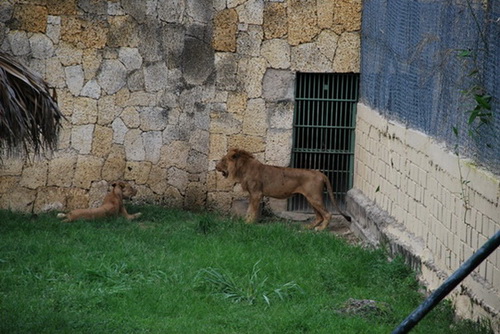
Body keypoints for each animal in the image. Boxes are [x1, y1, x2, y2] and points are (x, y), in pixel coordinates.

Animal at [216, 149, 352, 230]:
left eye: (223, 160)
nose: (215, 166)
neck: (243, 169)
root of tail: (320, 173)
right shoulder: (252, 195)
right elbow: (249, 209)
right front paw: (246, 221)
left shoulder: (256, 194)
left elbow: (252, 210)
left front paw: (248, 223)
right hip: (311, 198)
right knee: (319, 216)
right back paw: (307, 227)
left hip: (314, 197)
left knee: (327, 214)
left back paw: (320, 229)